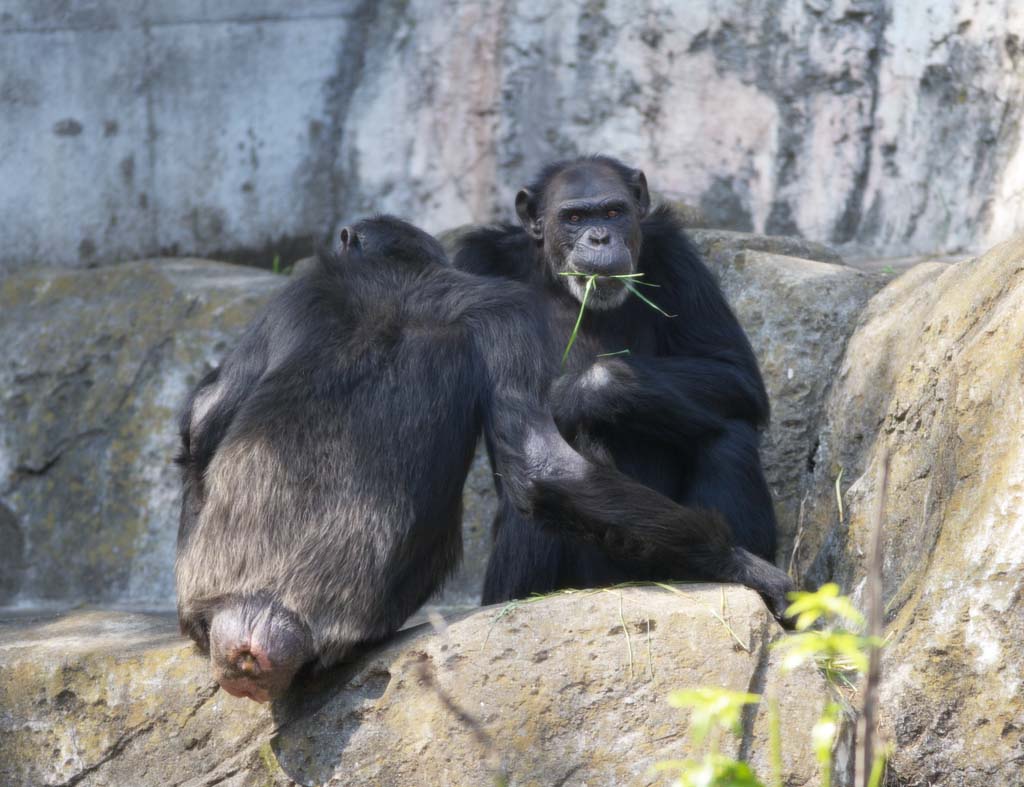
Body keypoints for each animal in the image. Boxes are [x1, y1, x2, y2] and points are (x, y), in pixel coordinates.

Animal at [174, 214, 790, 700]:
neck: (399, 278)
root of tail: (260, 624)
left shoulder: (300, 296)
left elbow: (206, 416)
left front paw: (744, 566)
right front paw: (747, 565)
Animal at [452, 153, 786, 605]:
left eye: (613, 212)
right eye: (574, 217)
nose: (598, 238)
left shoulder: (677, 256)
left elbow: (734, 371)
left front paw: (579, 392)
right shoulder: (476, 265)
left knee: (730, 432)